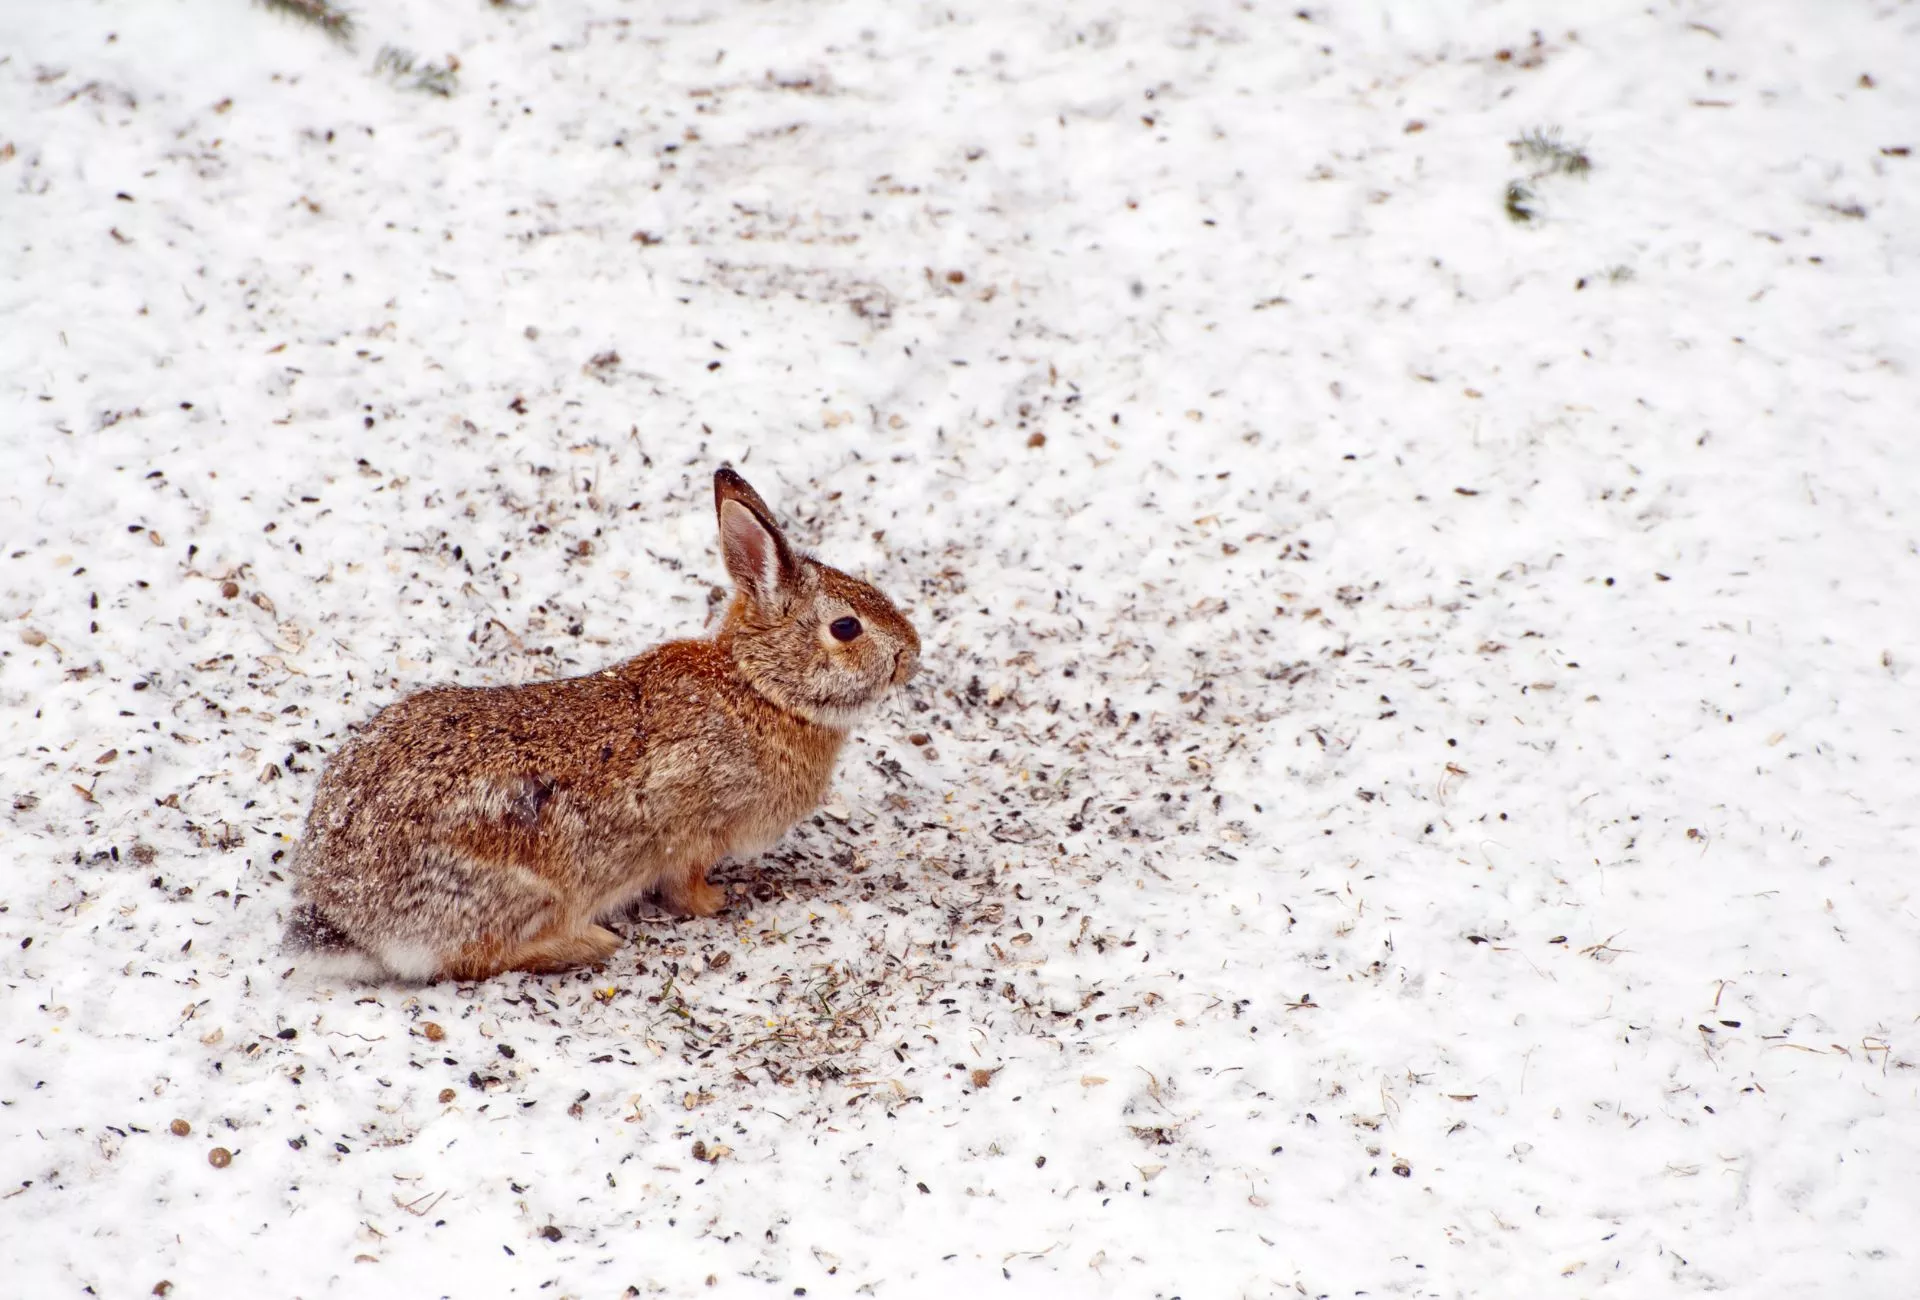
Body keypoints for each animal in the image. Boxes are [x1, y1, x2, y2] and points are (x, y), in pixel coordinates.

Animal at [282, 466, 920, 982]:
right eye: (846, 628)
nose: (911, 654)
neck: (761, 687)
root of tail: (346, 910)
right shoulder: (691, 827)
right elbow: (684, 886)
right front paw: (719, 902)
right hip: (523, 890)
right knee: (473, 959)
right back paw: (591, 942)